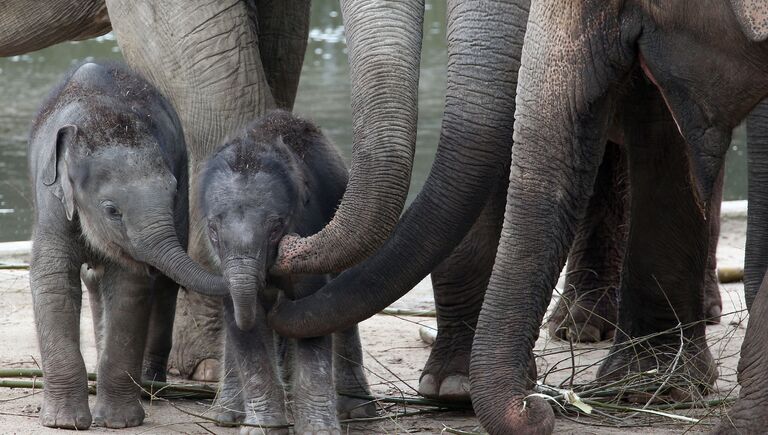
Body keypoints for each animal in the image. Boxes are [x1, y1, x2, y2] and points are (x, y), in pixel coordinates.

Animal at [200, 111, 374, 432]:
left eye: (276, 229)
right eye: (213, 231)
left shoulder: (307, 233)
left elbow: (310, 312)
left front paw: (319, 430)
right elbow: (239, 317)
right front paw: (261, 428)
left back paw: (356, 412)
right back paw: (224, 416)